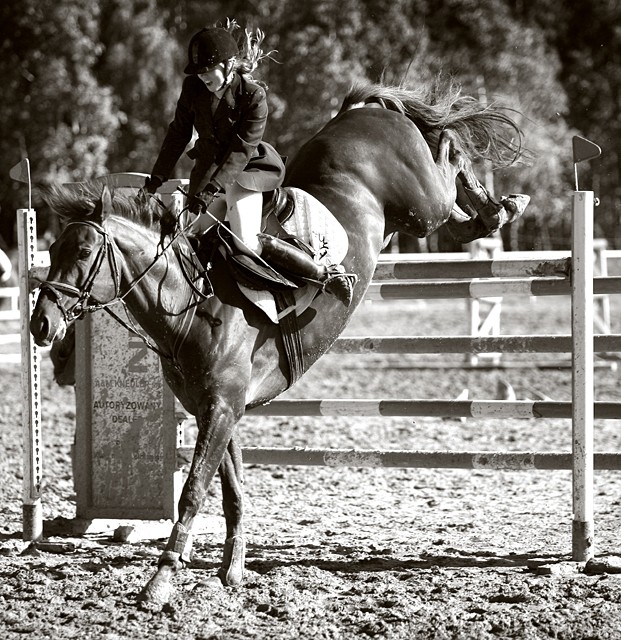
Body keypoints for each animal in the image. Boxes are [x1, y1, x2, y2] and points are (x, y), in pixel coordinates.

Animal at [27, 81, 524, 604]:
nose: (40, 324)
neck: (191, 305)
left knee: (449, 154)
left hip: (419, 202)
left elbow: (193, 491)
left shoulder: (222, 408)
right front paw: (232, 570)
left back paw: (499, 206)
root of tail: (362, 111)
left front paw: (161, 580)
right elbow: (232, 490)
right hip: (410, 212)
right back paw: (486, 215)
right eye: (52, 249)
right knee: (450, 184)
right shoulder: (216, 410)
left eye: (84, 251)